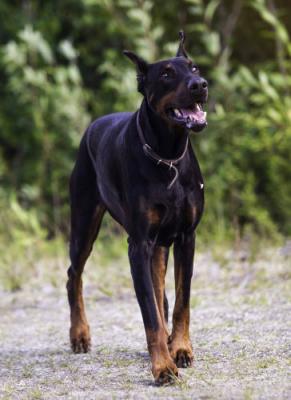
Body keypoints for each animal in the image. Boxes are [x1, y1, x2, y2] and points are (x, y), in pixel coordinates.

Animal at [66, 31, 208, 384]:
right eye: (167, 74)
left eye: (194, 67)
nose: (200, 84)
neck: (167, 156)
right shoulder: (139, 244)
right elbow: (149, 315)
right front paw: (163, 367)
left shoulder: (187, 237)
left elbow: (181, 302)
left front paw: (180, 349)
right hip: (84, 223)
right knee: (74, 274)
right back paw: (79, 334)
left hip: (159, 245)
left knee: (160, 292)